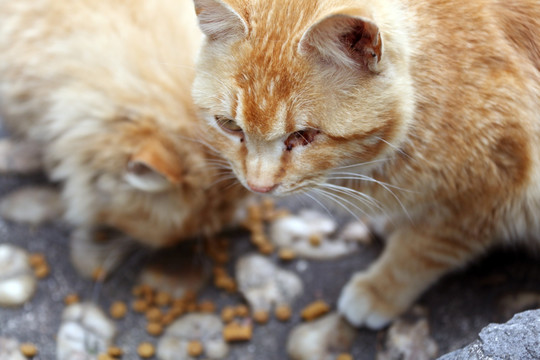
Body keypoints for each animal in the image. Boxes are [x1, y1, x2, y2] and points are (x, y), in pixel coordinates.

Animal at [191, 0, 540, 328]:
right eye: (229, 126)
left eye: (304, 136)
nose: (258, 186)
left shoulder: (483, 194)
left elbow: (419, 250)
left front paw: (379, 290)